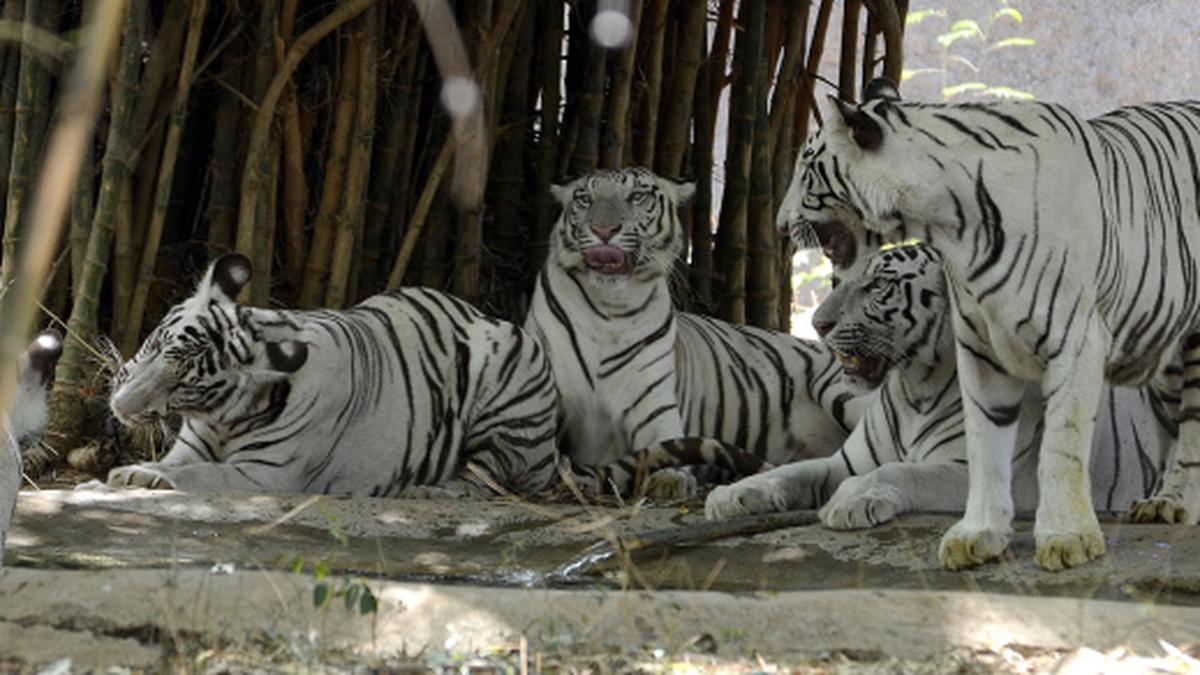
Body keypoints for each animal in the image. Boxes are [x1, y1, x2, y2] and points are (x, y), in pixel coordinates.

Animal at [105, 252, 758, 494]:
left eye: (187, 378)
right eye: (156, 344)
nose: (118, 406)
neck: (221, 415)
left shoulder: (266, 474)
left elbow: (199, 478)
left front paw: (144, 478)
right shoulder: (193, 441)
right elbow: (181, 462)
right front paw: (133, 469)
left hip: (503, 371)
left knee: (489, 481)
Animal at [523, 168, 864, 494]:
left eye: (636, 196)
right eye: (584, 199)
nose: (603, 231)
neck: (608, 309)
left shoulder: (654, 404)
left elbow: (663, 446)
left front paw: (669, 478)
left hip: (839, 390)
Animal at [700, 241, 1171, 526]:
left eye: (878, 286)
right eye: (837, 282)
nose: (819, 324)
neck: (915, 388)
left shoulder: (987, 472)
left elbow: (904, 472)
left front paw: (852, 500)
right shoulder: (844, 461)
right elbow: (793, 469)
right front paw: (732, 494)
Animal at [777, 78, 1200, 566]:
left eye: (807, 167)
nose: (781, 225)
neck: (953, 228)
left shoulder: (1076, 340)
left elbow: (1062, 445)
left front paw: (1067, 538)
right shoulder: (981, 347)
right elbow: (986, 443)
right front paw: (978, 534)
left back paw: (1175, 502)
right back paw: (1160, 501)